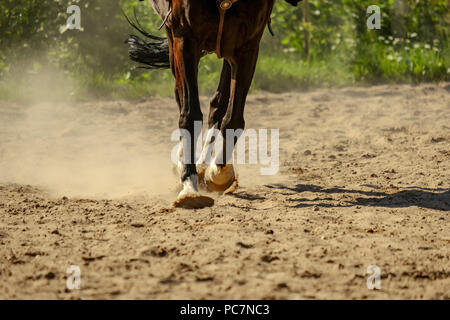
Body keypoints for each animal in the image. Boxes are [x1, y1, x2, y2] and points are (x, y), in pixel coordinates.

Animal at [126, 0, 300, 209]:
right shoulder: (185, 39)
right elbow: (190, 113)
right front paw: (189, 187)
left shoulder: (247, 46)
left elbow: (233, 118)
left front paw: (218, 172)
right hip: (173, 38)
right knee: (180, 94)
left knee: (217, 106)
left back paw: (203, 165)